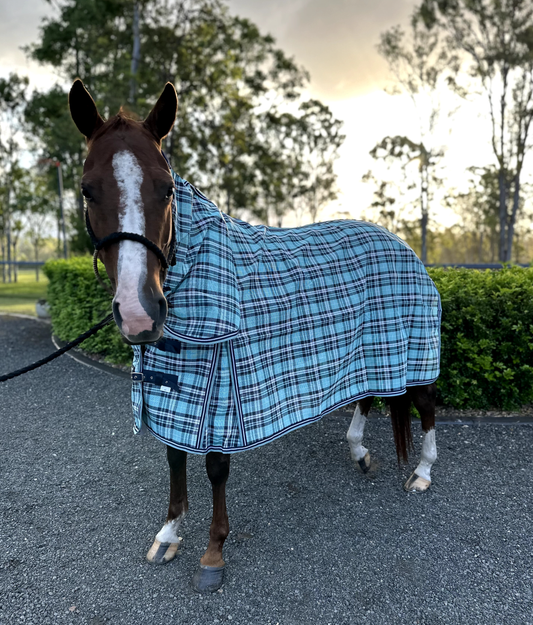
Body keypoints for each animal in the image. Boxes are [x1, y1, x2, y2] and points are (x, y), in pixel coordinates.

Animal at [68, 80, 438, 592]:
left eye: (167, 189)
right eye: (87, 189)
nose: (140, 313)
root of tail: (399, 242)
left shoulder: (221, 391)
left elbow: (214, 467)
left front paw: (212, 553)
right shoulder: (176, 390)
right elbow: (174, 459)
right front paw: (168, 535)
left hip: (413, 346)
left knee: (424, 402)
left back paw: (422, 472)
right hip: (368, 348)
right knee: (366, 395)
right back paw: (360, 451)